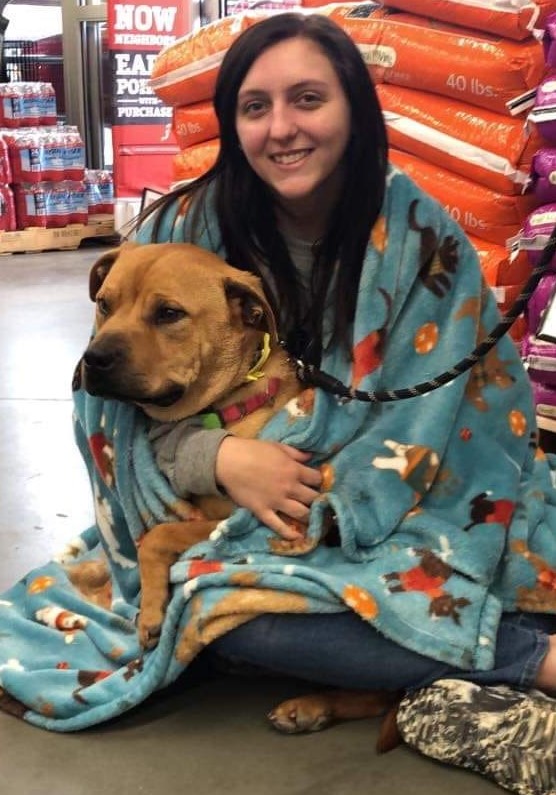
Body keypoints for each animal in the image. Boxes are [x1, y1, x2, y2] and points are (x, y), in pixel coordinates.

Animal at [79, 244, 400, 748]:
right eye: (105, 304)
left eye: (168, 313)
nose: (93, 358)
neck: (227, 406)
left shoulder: (255, 515)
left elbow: (157, 535)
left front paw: (150, 613)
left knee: (384, 690)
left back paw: (311, 706)